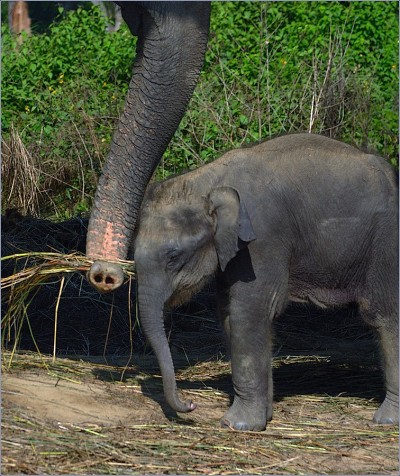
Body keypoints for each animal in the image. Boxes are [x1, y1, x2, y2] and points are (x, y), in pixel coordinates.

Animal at [133, 133, 399, 431]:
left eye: (173, 256)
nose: (190, 404)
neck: (210, 180)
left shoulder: (263, 238)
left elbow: (249, 312)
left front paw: (237, 425)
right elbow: (228, 314)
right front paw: (263, 418)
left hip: (386, 241)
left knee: (384, 315)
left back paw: (386, 420)